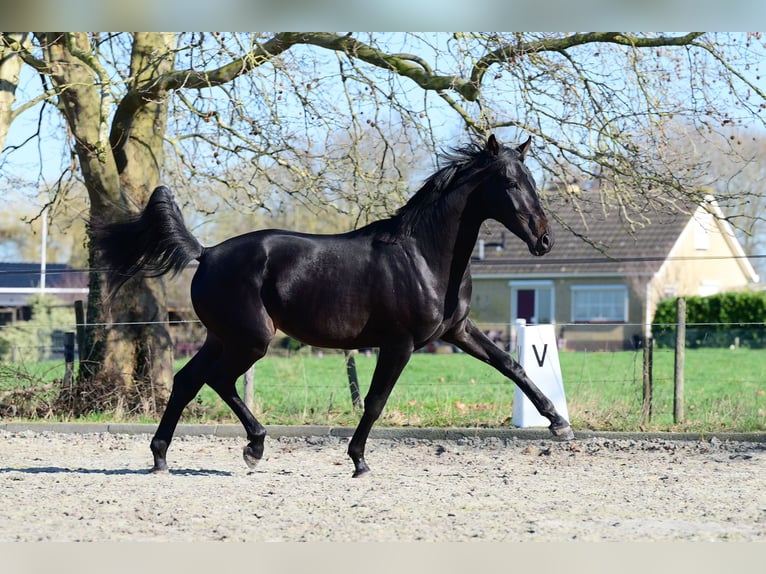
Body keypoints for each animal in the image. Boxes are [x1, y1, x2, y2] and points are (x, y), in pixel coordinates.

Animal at [92, 134, 574, 477]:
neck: (422, 255)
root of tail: (206, 253)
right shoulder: (399, 344)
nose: (544, 241)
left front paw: (558, 424)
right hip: (251, 339)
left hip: (221, 336)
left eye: (532, 181)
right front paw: (359, 460)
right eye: (510, 183)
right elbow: (375, 401)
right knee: (218, 380)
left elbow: (513, 365)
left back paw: (160, 457)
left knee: (188, 380)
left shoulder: (458, 331)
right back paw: (254, 447)